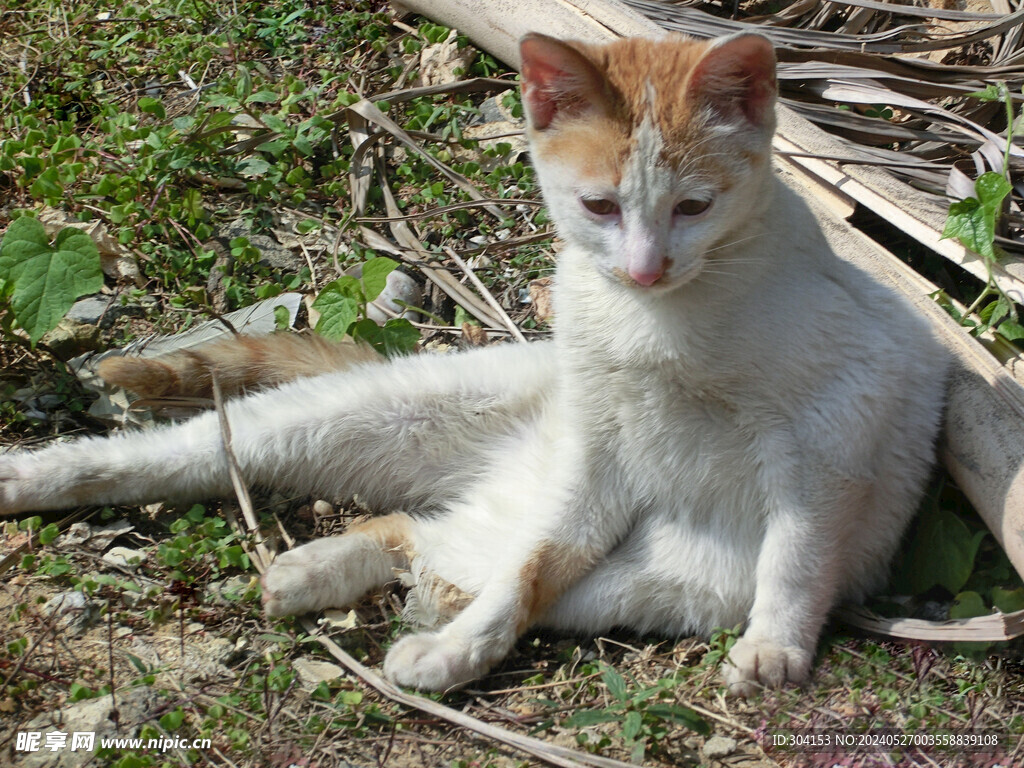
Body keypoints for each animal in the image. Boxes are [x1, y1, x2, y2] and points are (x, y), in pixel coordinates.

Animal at [0, 33, 946, 696]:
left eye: (694, 207)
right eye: (598, 206)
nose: (645, 268)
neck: (657, 321)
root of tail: (497, 477)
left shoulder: (834, 433)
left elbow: (794, 558)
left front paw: (776, 647)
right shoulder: (596, 455)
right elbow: (529, 569)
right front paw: (466, 647)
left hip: (670, 578)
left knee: (442, 545)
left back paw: (341, 585)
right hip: (374, 422)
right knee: (176, 458)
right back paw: (35, 479)